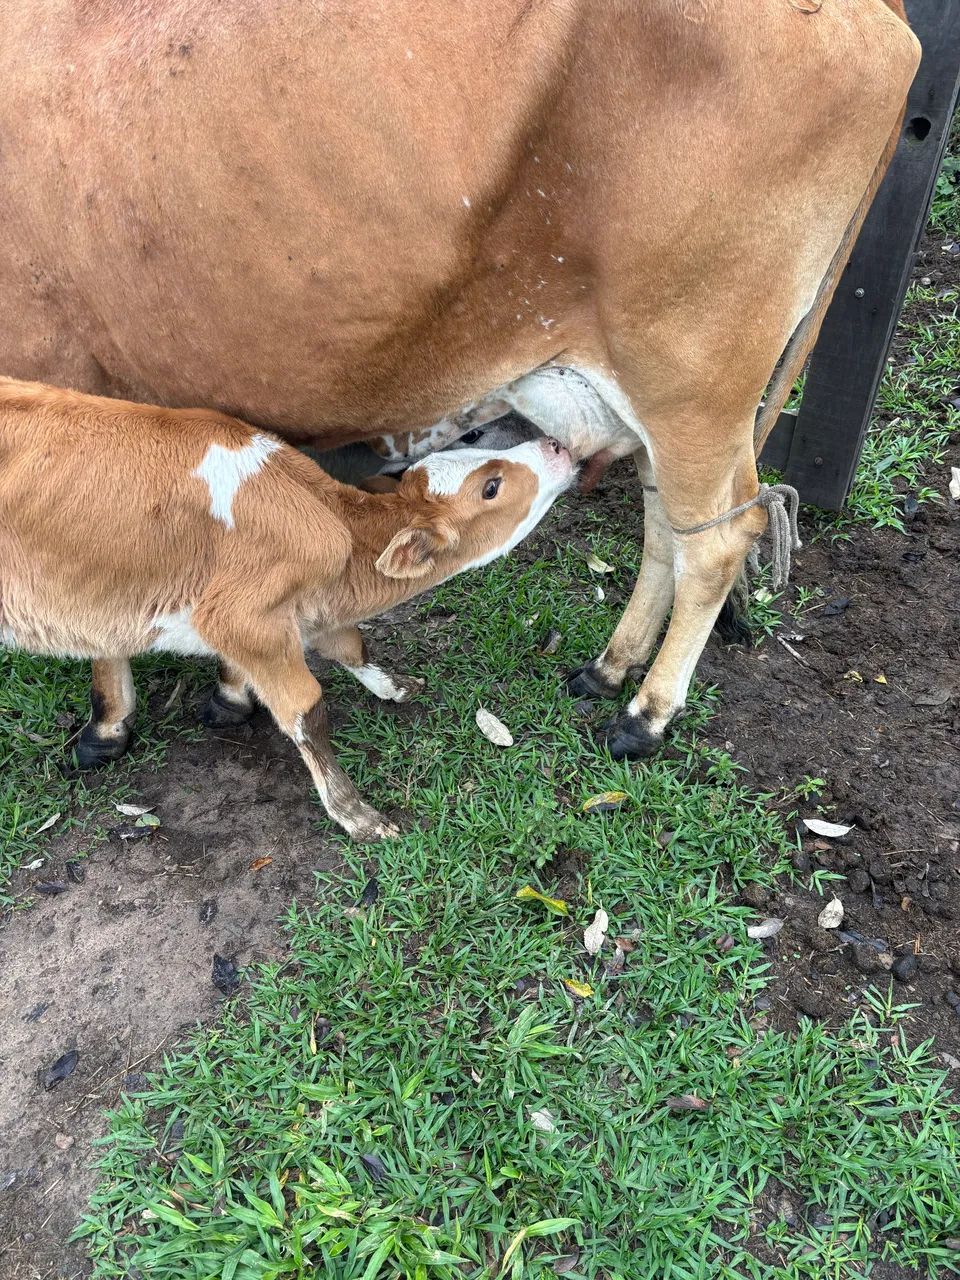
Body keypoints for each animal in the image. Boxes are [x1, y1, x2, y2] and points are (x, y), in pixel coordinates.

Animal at [0, 0, 920, 756]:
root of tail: (882, 16)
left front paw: (111, 721)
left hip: (692, 371)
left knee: (719, 539)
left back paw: (646, 714)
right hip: (658, 393)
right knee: (671, 523)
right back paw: (610, 668)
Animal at [0, 378, 574, 840]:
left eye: (475, 447)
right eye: (491, 486)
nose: (556, 443)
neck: (335, 530)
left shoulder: (306, 611)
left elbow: (352, 645)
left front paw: (393, 686)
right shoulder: (241, 619)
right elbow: (306, 709)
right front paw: (355, 814)